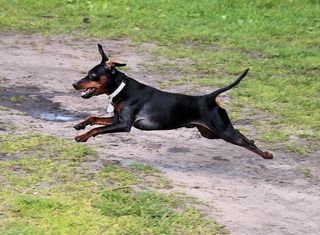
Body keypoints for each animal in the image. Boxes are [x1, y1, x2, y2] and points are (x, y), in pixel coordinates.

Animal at [72, 43, 272, 160]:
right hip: (210, 132)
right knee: (242, 134)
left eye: (91, 75)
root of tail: (209, 97)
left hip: (222, 131)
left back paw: (266, 155)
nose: (74, 84)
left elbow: (98, 129)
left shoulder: (124, 124)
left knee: (245, 141)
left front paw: (83, 136)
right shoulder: (116, 119)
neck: (122, 88)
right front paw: (81, 125)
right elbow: (94, 119)